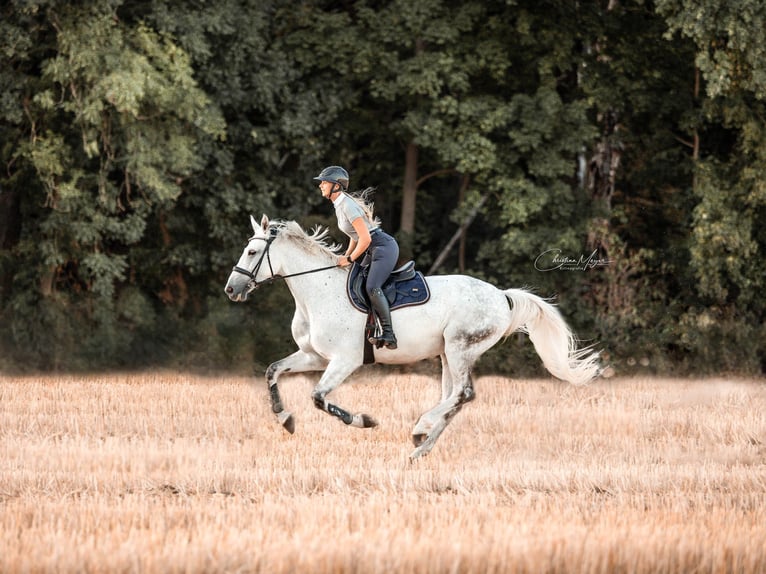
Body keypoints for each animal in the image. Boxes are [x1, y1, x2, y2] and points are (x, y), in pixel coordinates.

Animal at [225, 214, 604, 462]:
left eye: (252, 253)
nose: (231, 288)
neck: (317, 291)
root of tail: (502, 297)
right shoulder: (313, 356)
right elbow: (272, 371)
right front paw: (284, 418)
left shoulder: (345, 361)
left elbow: (318, 397)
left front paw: (365, 421)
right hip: (447, 354)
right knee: (453, 396)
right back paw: (422, 442)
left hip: (460, 347)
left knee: (462, 394)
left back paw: (421, 431)